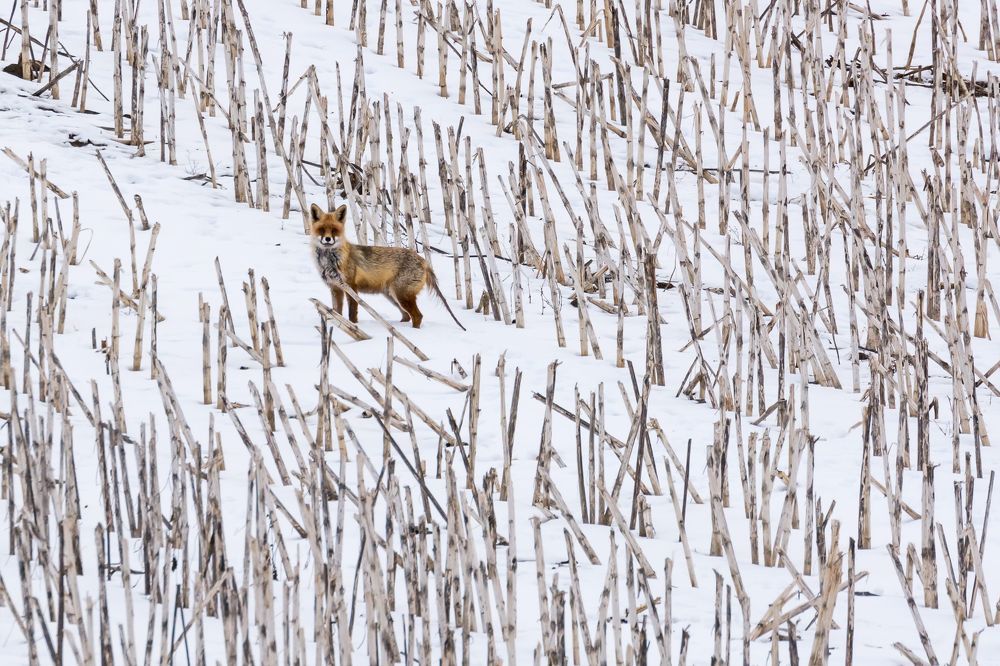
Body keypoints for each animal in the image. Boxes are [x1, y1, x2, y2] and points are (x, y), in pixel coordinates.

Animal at [309, 203, 466, 331]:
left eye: (334, 230)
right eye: (321, 230)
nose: (328, 239)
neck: (330, 261)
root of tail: (424, 261)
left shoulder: (351, 286)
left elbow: (352, 313)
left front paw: (353, 326)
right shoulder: (335, 288)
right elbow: (337, 312)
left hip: (401, 295)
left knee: (417, 316)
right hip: (393, 297)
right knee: (407, 316)